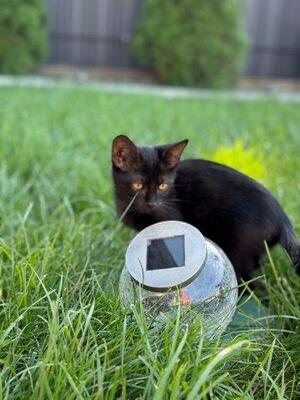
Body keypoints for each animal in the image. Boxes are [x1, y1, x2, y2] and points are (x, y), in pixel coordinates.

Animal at [111, 134, 298, 282]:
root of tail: (282, 218)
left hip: (239, 249)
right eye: (138, 185)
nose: (153, 203)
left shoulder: (170, 218)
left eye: (163, 186)